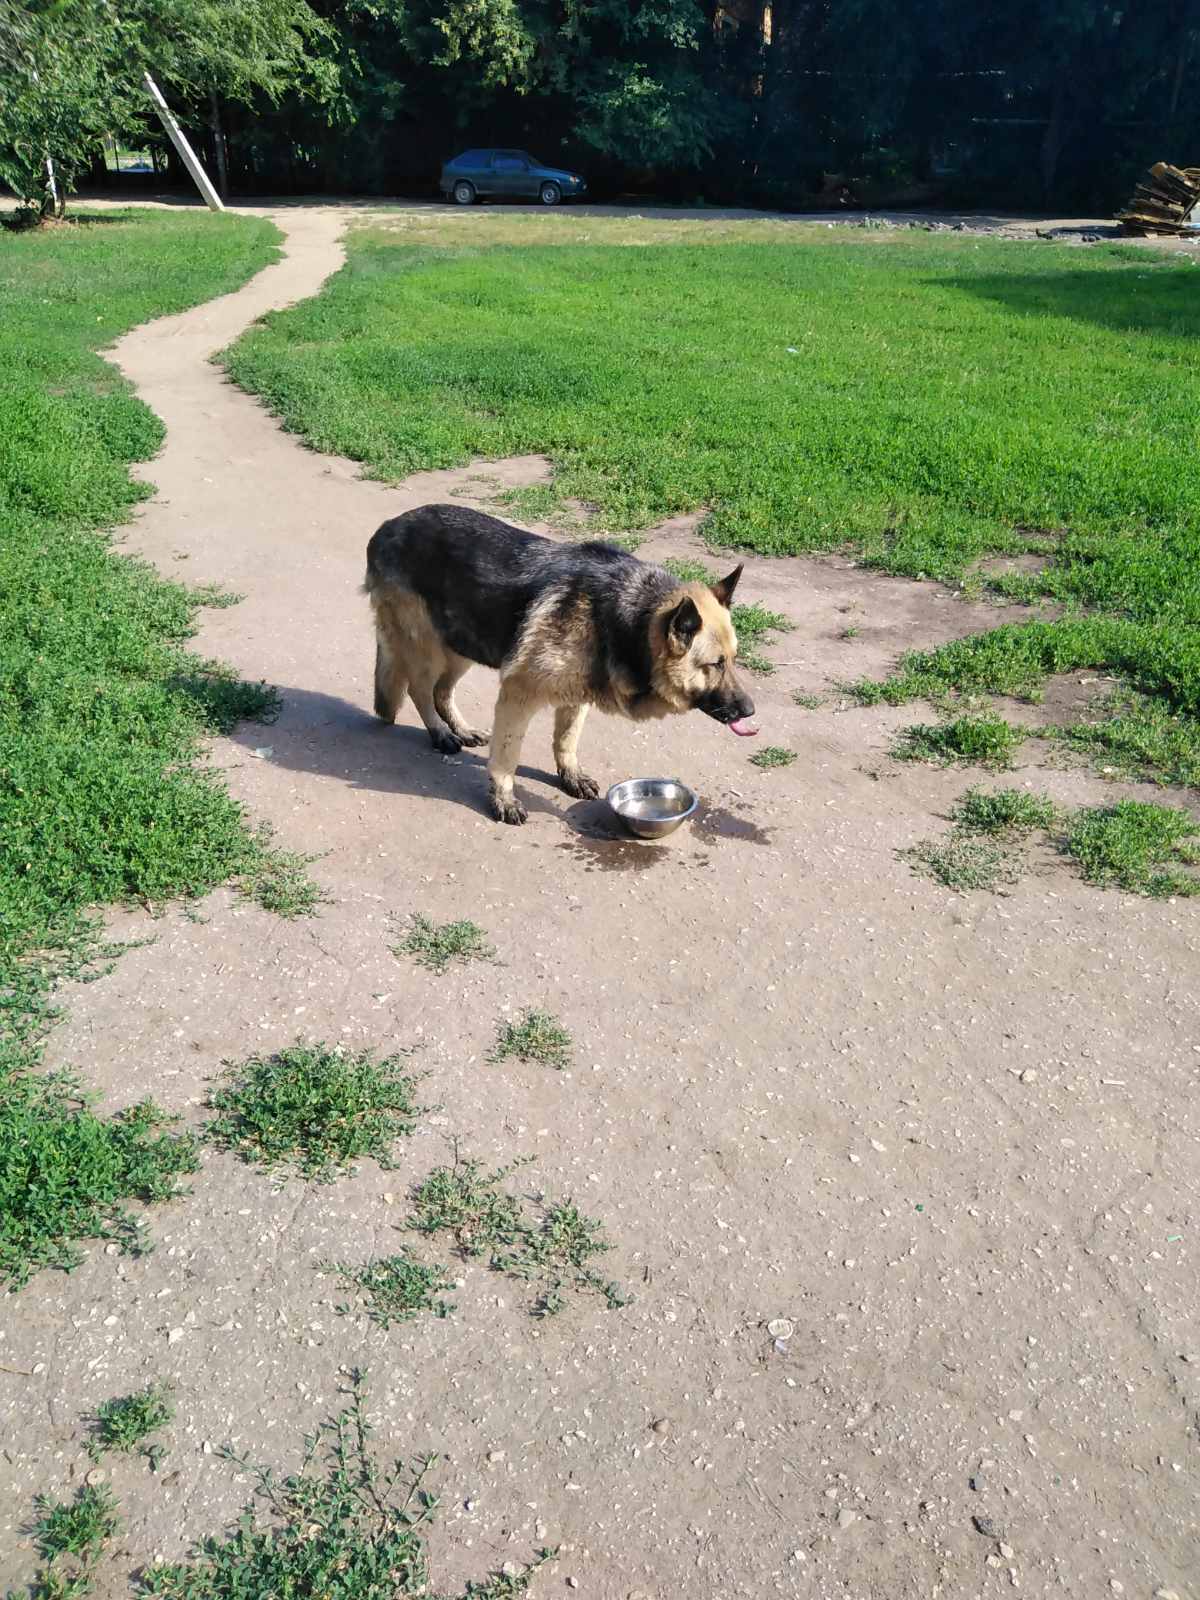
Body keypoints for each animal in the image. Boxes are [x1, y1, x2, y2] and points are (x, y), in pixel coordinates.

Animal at [366, 502, 761, 825]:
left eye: (734, 660)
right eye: (716, 664)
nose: (750, 711)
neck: (628, 618)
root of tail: (387, 526)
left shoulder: (577, 697)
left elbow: (566, 741)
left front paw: (570, 775)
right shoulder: (517, 695)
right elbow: (507, 757)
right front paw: (504, 799)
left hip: (463, 644)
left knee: (442, 691)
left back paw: (460, 729)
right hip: (429, 649)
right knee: (420, 690)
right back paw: (441, 733)